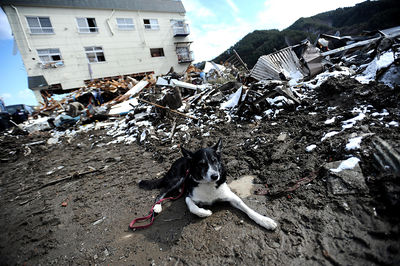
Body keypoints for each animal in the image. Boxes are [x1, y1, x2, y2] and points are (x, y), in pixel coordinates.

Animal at [139, 139, 276, 231]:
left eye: (214, 161)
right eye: (201, 164)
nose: (215, 176)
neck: (209, 185)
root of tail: (180, 159)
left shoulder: (231, 196)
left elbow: (247, 207)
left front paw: (264, 220)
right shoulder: (189, 195)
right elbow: (192, 207)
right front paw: (204, 212)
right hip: (177, 179)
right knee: (161, 192)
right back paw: (157, 207)